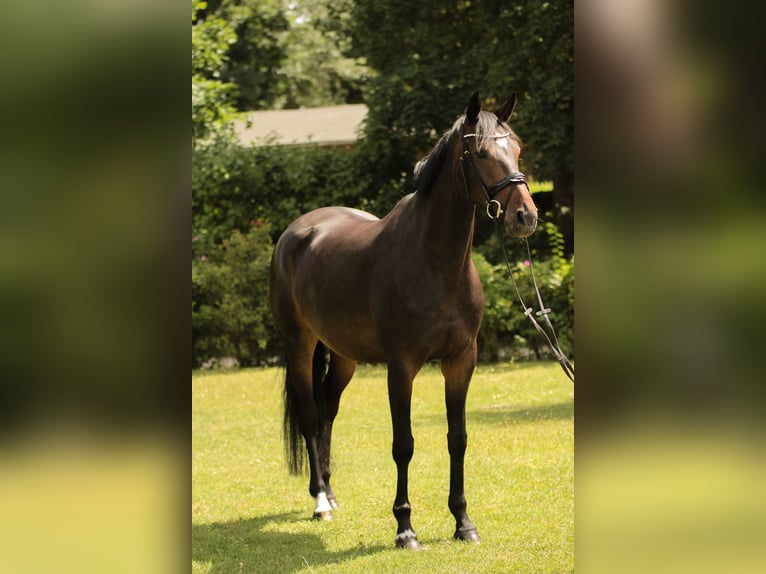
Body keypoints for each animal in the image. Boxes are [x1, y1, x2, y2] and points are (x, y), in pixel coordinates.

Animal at [270, 92, 540, 552]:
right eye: (481, 153)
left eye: (518, 150)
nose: (525, 216)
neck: (435, 263)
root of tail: (297, 232)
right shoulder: (401, 367)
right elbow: (404, 444)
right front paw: (405, 528)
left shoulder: (461, 362)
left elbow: (457, 439)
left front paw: (463, 522)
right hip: (300, 346)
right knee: (308, 417)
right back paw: (320, 501)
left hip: (343, 357)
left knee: (326, 414)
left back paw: (331, 493)